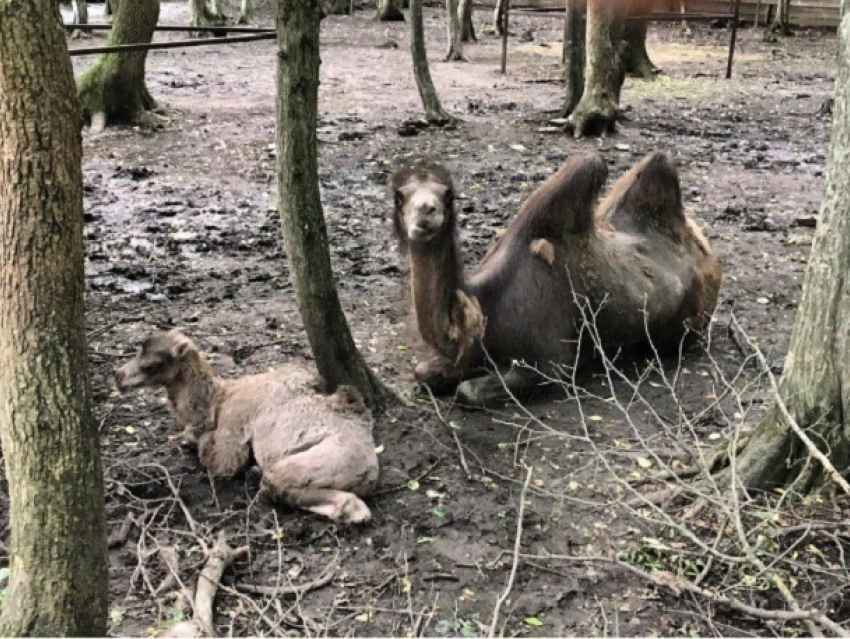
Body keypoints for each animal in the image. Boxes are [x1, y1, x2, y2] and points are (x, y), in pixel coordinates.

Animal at [114, 330, 380, 524]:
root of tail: (370, 470)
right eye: (139, 350)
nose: (118, 376)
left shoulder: (230, 440)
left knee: (279, 485)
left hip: (320, 462)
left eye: (151, 365)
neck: (218, 400)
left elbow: (217, 461)